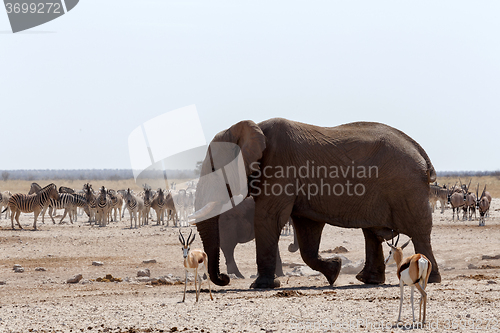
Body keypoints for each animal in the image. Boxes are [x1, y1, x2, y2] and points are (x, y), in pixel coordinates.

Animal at [191, 117, 442, 288]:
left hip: (406, 188)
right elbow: (306, 229)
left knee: (418, 232)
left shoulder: (279, 167)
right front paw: (334, 271)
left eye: (214, 169)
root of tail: (421, 154)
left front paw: (261, 286)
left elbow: (268, 218)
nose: (224, 279)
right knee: (372, 232)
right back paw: (368, 280)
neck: (255, 128)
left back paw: (429, 280)